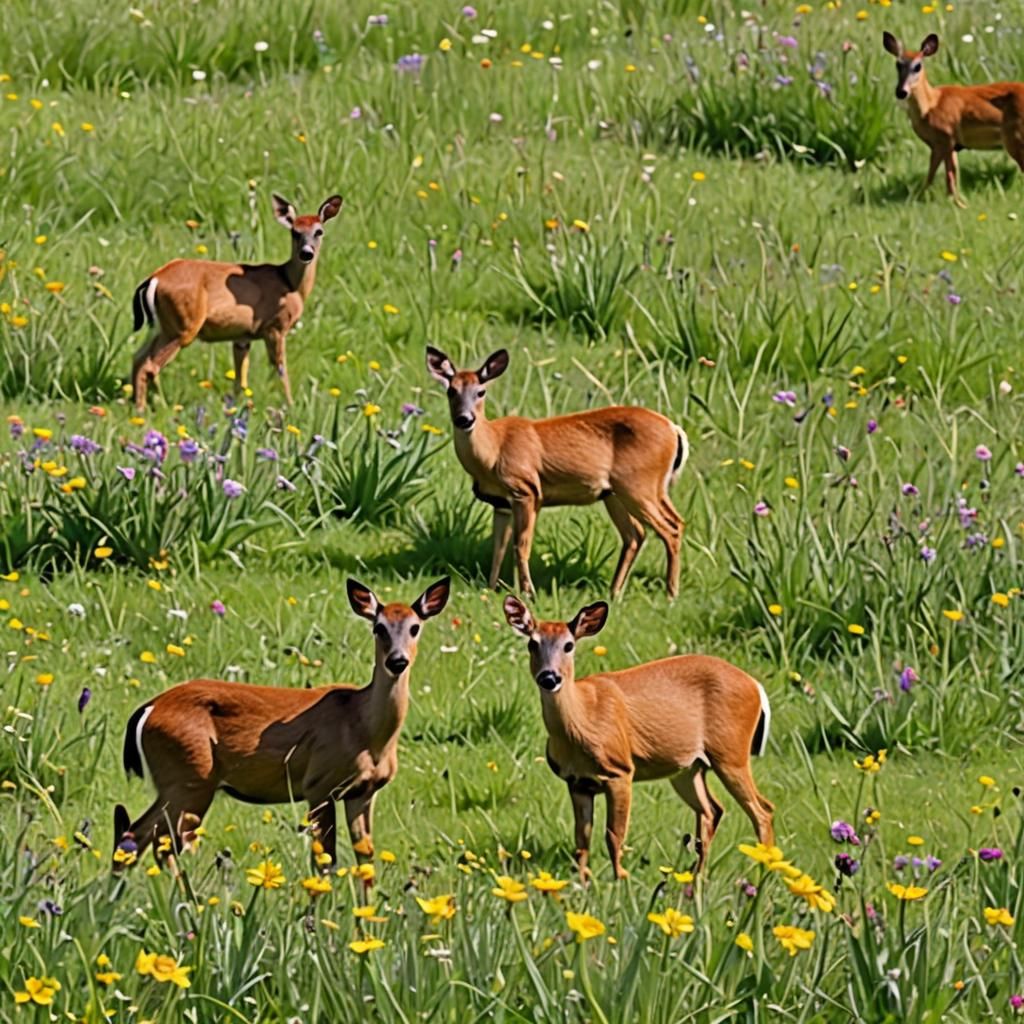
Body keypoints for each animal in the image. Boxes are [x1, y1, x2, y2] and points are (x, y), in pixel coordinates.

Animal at [112, 577, 450, 871]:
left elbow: (365, 861)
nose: (397, 660)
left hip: (178, 783)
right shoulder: (319, 784)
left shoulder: (363, 792)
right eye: (378, 627)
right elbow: (325, 862)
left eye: (415, 627)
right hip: (190, 776)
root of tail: (147, 709)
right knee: (157, 842)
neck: (364, 728)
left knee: (135, 836)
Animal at [130, 192, 343, 411]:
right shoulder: (275, 327)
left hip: (161, 327)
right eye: (295, 232)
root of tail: (155, 278)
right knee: (150, 366)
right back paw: (152, 408)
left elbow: (240, 378)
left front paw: (234, 407)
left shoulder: (242, 336)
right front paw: (290, 406)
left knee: (137, 358)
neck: (290, 284)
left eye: (319, 231)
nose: (306, 253)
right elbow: (280, 369)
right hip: (183, 325)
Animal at [426, 346, 689, 599]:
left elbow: (521, 546)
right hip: (622, 492)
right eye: (451, 391)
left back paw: (671, 594)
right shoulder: (500, 503)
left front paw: (528, 593)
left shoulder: (527, 490)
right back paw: (615, 592)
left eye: (481, 392)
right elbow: (498, 548)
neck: (493, 452)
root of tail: (674, 429)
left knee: (671, 527)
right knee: (638, 533)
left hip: (638, 485)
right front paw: (490, 590)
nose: (464, 419)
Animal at [503, 595, 774, 880]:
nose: (549, 677)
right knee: (712, 810)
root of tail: (756, 686)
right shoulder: (577, 782)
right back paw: (696, 875)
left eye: (569, 645)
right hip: (688, 767)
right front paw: (582, 881)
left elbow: (614, 834)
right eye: (532, 643)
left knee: (763, 811)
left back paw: (762, 873)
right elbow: (582, 840)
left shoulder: (620, 770)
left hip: (731, 752)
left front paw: (620, 878)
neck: (581, 722)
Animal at [883, 32, 1024, 207]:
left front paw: (959, 204)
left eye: (918, 66)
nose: (901, 91)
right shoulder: (943, 145)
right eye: (898, 64)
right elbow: (937, 175)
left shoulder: (946, 136)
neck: (931, 105)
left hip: (1015, 137)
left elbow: (949, 176)